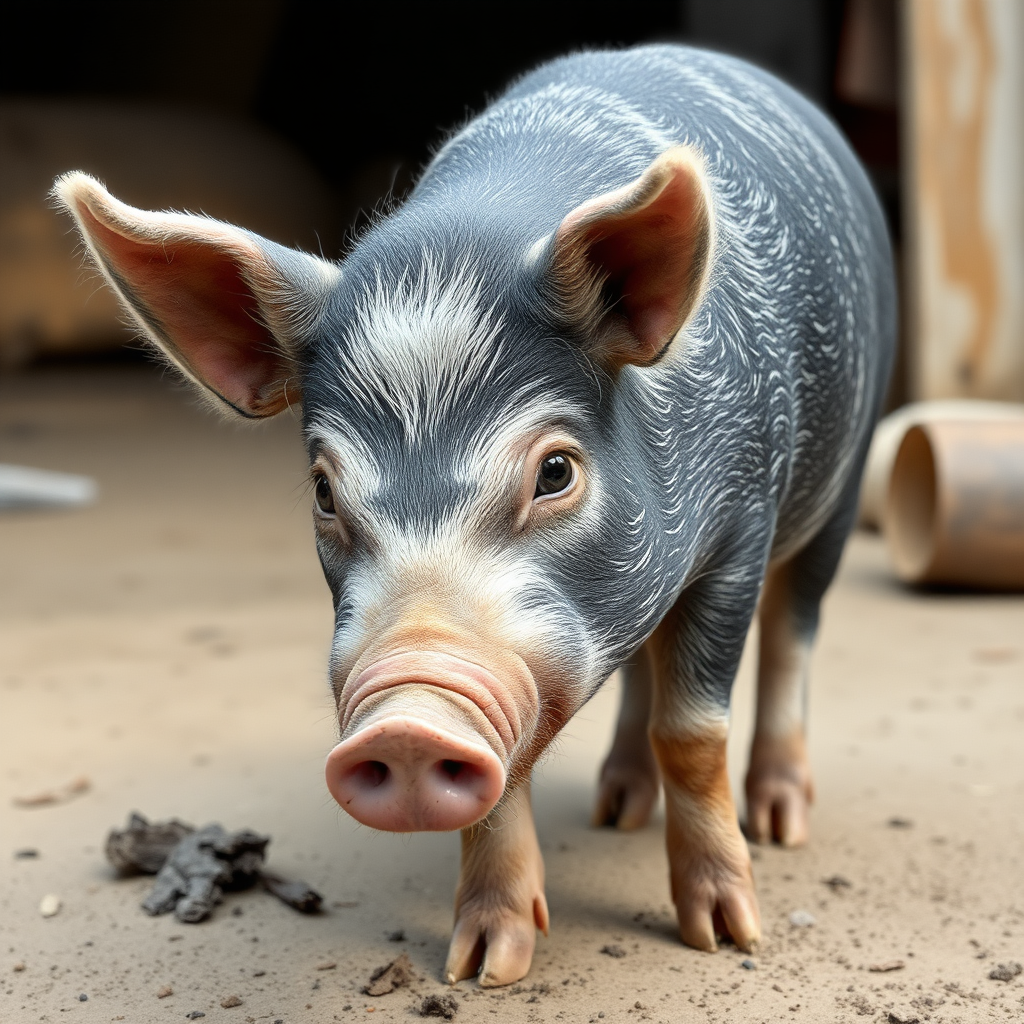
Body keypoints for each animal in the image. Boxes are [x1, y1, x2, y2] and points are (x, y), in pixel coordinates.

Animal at [54, 44, 897, 987]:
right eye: (324, 491)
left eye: (556, 470)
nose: (410, 720)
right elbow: (514, 770)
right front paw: (483, 967)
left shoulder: (741, 526)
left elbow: (693, 729)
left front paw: (726, 936)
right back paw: (614, 810)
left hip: (842, 485)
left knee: (794, 631)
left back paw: (782, 821)